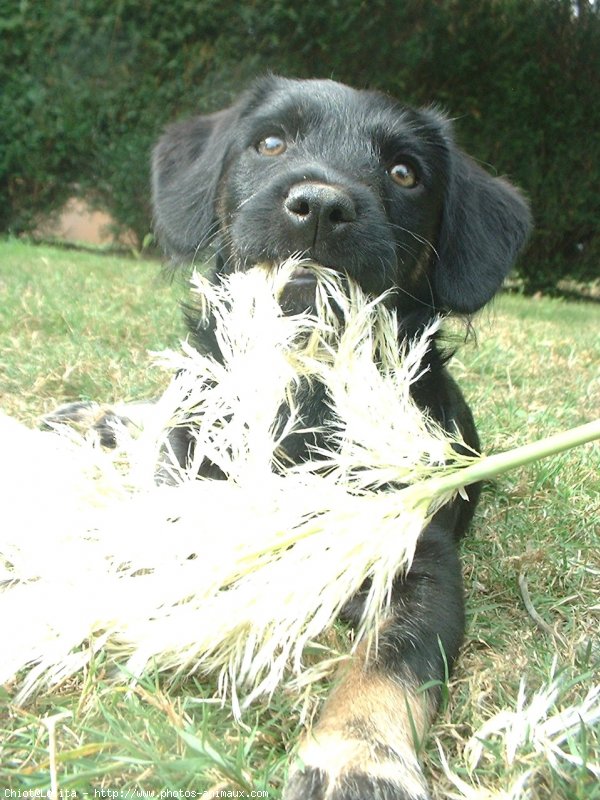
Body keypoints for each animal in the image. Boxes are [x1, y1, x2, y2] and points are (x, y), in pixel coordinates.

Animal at [152, 78, 532, 800]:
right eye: (271, 141)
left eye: (405, 172)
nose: (322, 207)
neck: (306, 390)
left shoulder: (420, 560)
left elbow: (389, 664)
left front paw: (359, 758)